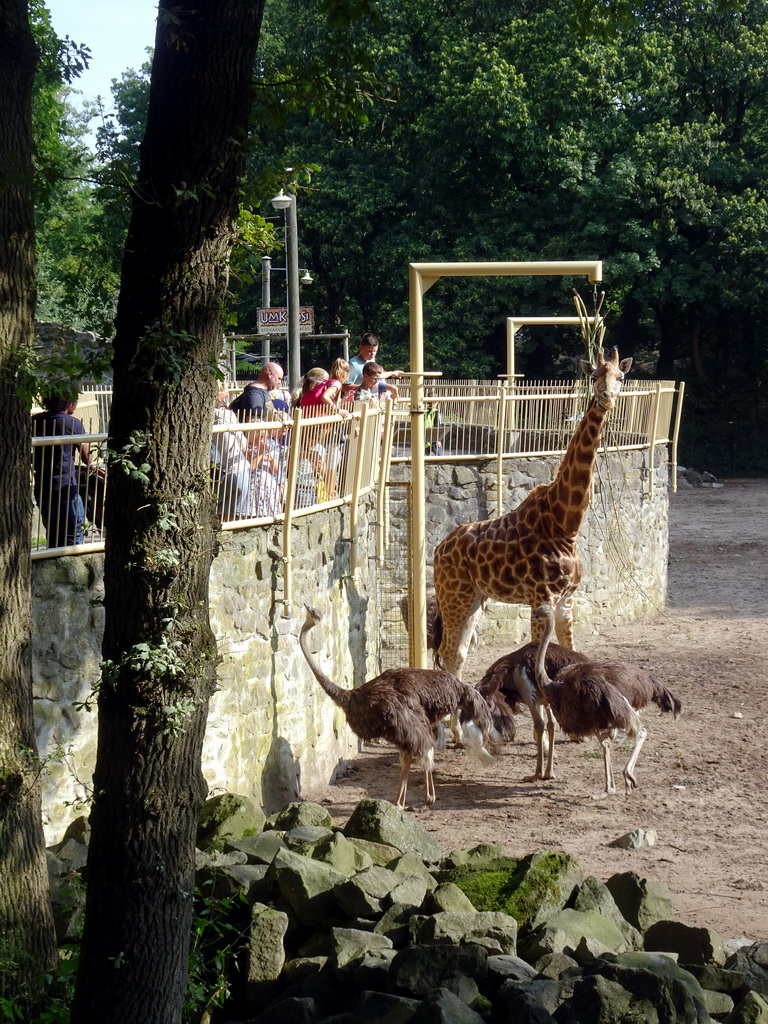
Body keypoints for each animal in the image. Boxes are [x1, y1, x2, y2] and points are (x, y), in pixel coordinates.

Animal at [436, 348, 634, 675]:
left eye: (620, 377)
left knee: (458, 654)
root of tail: (439, 548)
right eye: (594, 376)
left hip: (475, 597)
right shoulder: (541, 597)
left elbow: (571, 653)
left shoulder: (566, 600)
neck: (566, 523)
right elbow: (537, 659)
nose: (607, 397)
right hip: (454, 594)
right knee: (448, 652)